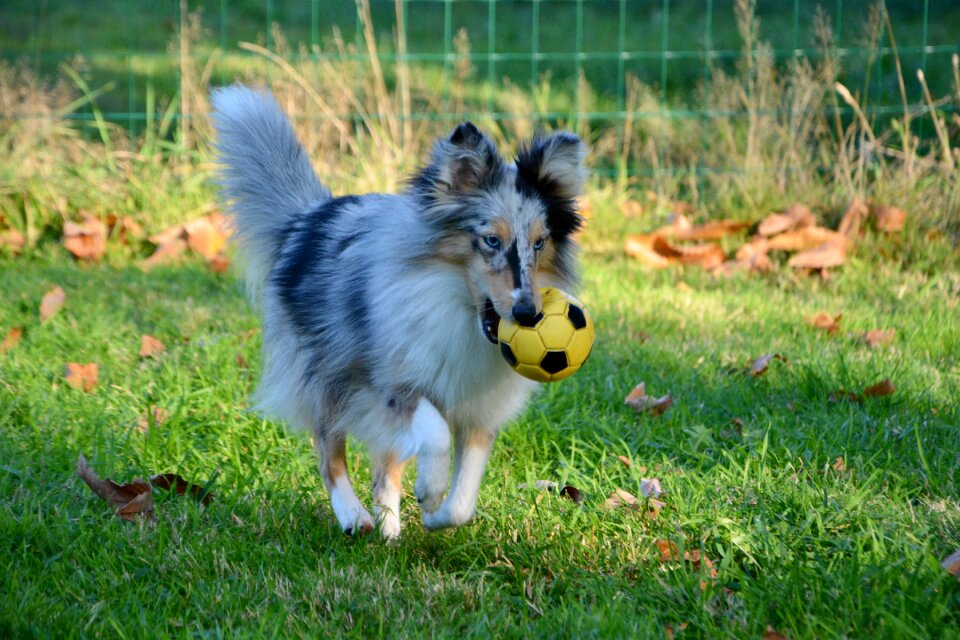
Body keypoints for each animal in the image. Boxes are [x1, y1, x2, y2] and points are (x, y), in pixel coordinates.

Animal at [212, 82, 584, 536]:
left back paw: (390, 530)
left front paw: (435, 512)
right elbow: (434, 431)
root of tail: (308, 217)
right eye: (491, 240)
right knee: (329, 451)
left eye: (539, 242)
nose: (529, 315)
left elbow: (462, 499)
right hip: (327, 376)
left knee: (384, 467)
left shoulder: (480, 412)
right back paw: (354, 517)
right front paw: (430, 487)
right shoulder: (389, 384)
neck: (456, 308)